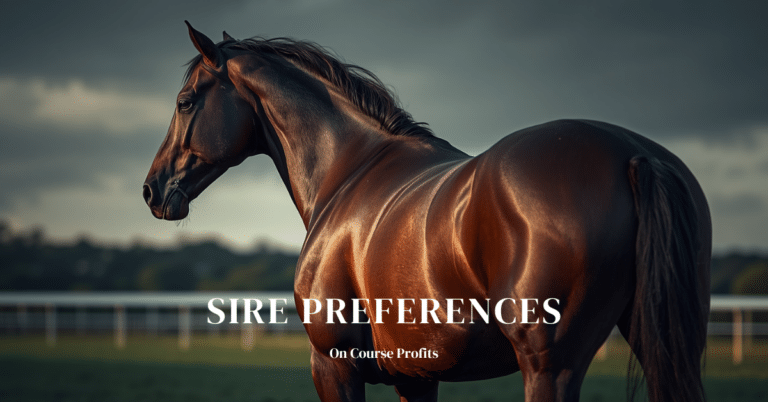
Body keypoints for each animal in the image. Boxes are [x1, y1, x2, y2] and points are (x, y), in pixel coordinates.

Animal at [143, 22, 711, 402]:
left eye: (186, 100)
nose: (152, 190)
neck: (349, 171)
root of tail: (633, 155)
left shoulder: (333, 366)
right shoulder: (415, 376)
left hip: (549, 366)